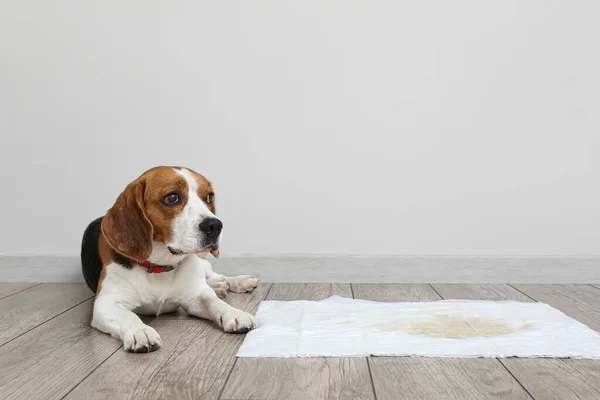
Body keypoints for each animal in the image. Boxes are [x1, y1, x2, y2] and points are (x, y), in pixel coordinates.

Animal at [80, 167, 258, 352]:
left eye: (209, 197)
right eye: (172, 198)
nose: (215, 225)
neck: (160, 266)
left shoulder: (195, 296)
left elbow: (213, 301)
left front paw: (234, 313)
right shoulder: (105, 304)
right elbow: (127, 315)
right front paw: (140, 330)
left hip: (201, 263)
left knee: (214, 275)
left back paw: (236, 282)